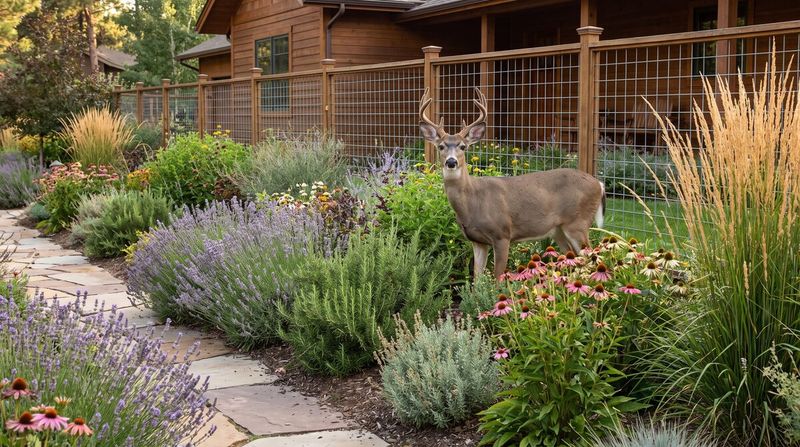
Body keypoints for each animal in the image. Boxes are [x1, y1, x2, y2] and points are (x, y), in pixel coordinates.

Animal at [418, 87, 606, 279]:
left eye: (463, 146)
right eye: (441, 146)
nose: (451, 162)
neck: (473, 201)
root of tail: (599, 184)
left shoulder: (502, 234)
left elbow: (497, 278)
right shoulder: (477, 241)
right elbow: (477, 279)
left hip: (578, 222)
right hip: (559, 230)